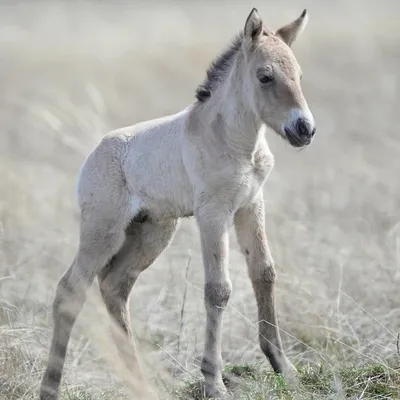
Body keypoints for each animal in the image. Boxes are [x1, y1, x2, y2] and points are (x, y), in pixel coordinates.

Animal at [39, 7, 316, 400]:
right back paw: (50, 387)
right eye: (265, 76)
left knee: (114, 286)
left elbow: (264, 273)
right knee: (70, 291)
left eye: (299, 75)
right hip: (102, 232)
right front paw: (214, 383)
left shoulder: (250, 205)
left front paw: (285, 368)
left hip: (153, 232)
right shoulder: (213, 212)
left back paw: (141, 383)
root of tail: (93, 155)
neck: (233, 141)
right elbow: (218, 289)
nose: (304, 129)